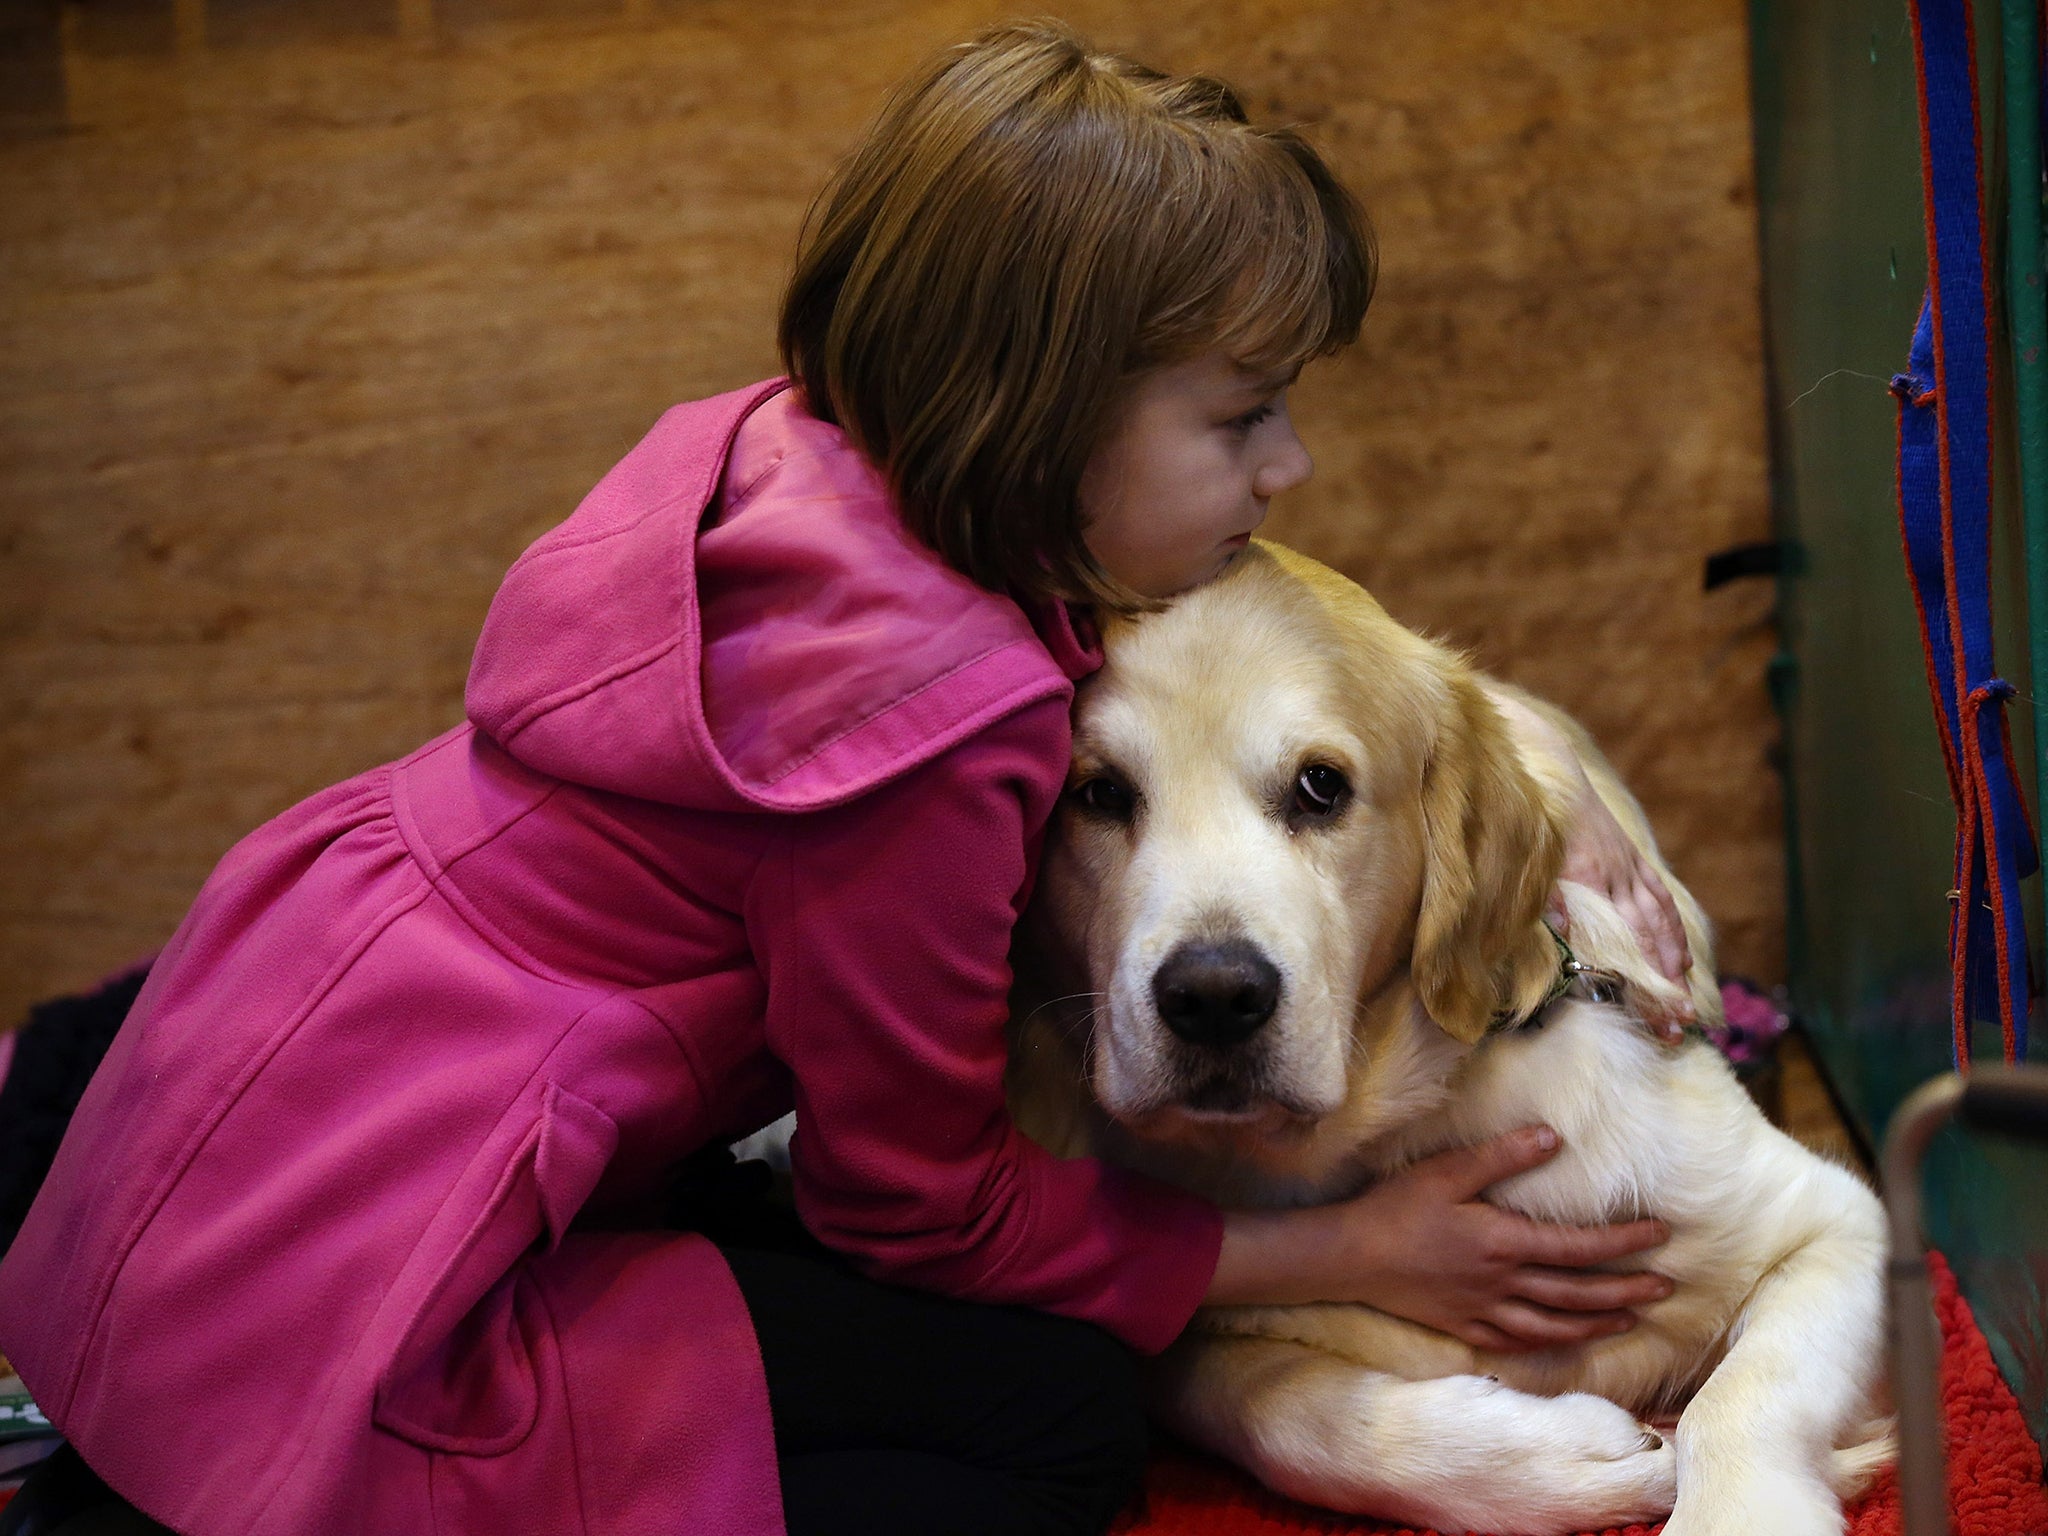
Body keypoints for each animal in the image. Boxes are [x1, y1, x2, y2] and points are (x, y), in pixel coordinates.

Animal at [1007, 544, 1884, 1536]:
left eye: (1320, 787)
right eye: (1097, 794)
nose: (1215, 997)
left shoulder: (1832, 1219)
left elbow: (1743, 1395)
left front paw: (1735, 1507)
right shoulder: (1188, 1331)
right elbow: (1277, 1414)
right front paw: (1570, 1460)